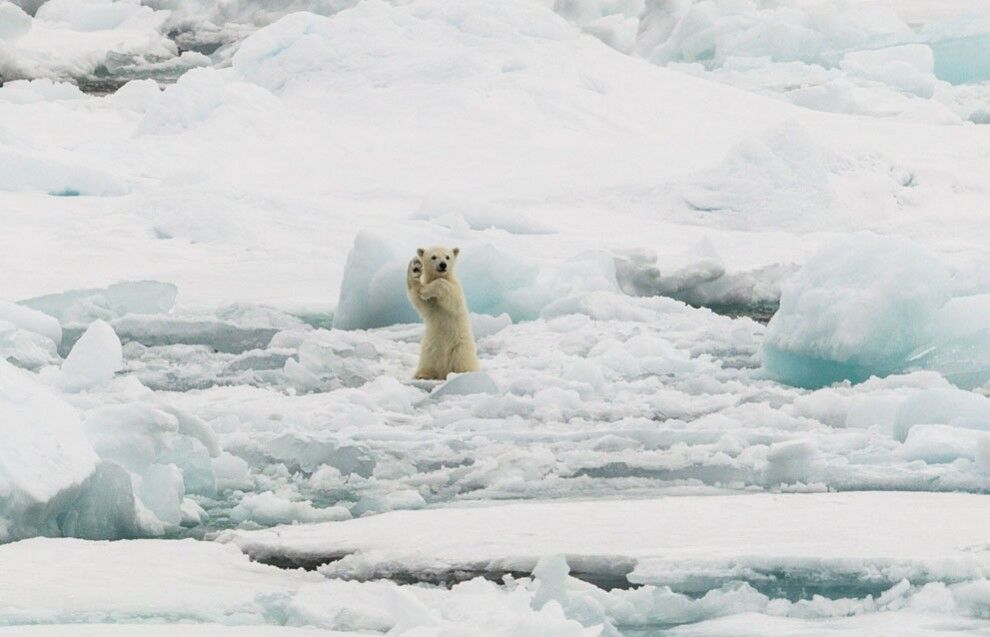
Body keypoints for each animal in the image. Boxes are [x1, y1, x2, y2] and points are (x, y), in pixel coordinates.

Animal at [404, 246, 478, 380]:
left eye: (447, 256)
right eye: (433, 256)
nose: (443, 264)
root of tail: (444, 371)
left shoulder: (456, 289)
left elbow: (449, 294)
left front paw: (426, 290)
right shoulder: (431, 303)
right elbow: (418, 299)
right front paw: (415, 267)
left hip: (460, 347)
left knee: (462, 360)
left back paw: (463, 374)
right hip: (429, 349)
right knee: (428, 362)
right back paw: (422, 375)